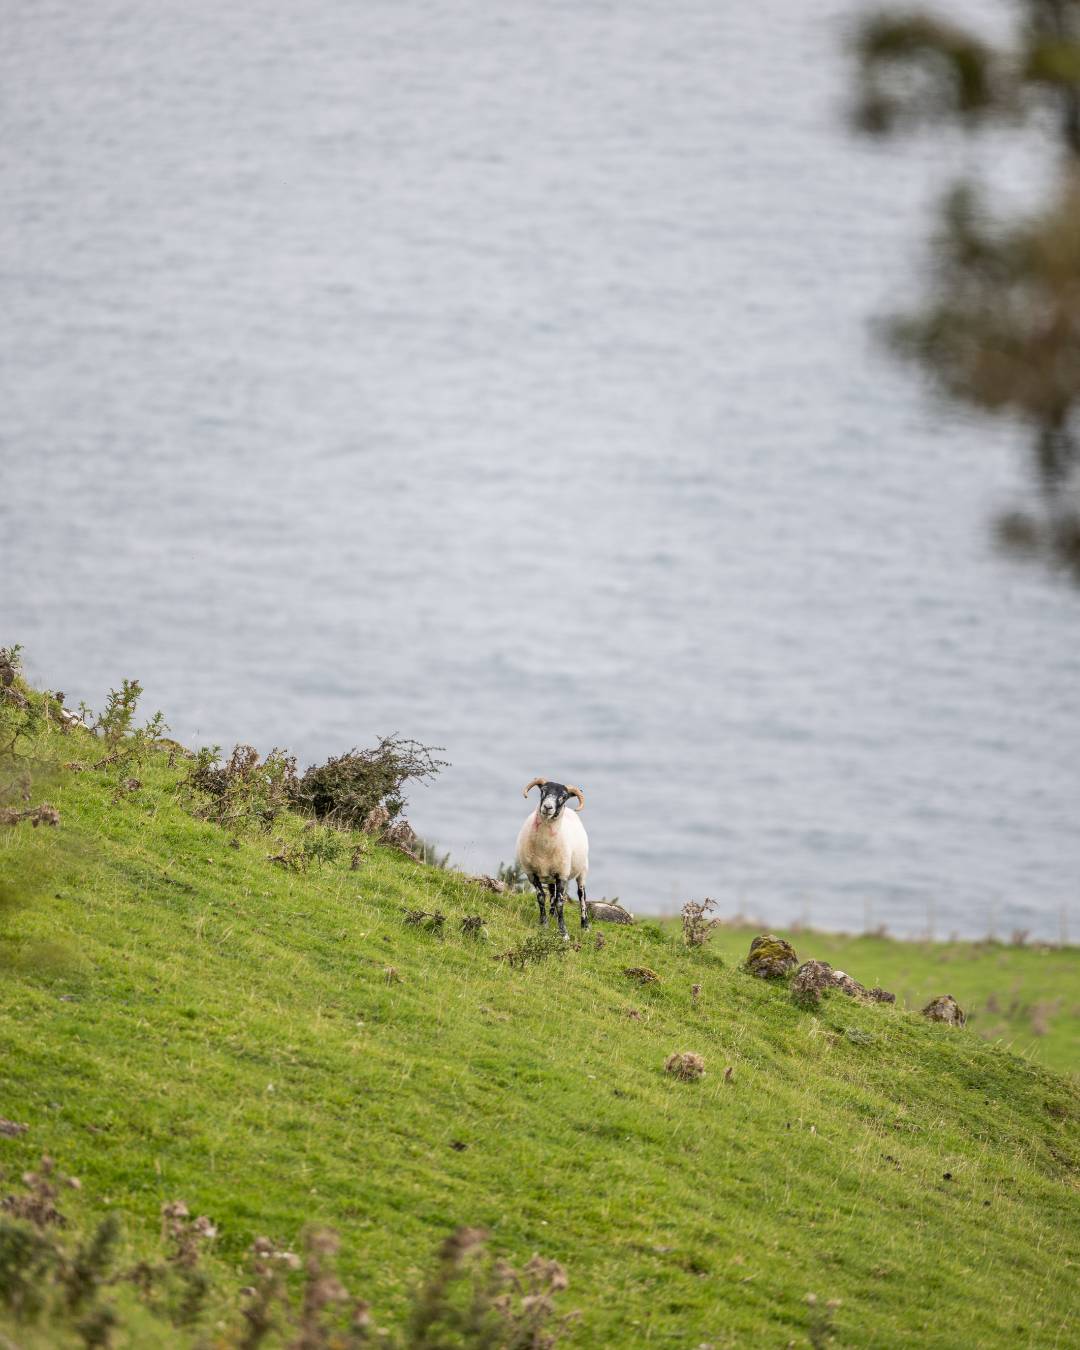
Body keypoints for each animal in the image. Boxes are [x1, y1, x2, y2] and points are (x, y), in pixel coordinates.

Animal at [515, 778, 589, 939]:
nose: (548, 807)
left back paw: (585, 925)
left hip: (582, 869)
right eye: (543, 790)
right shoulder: (532, 874)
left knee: (582, 894)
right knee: (552, 894)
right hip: (550, 877)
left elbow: (561, 902)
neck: (544, 848)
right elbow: (541, 897)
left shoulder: (562, 874)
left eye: (564, 796)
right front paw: (544, 924)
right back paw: (552, 914)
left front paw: (564, 933)